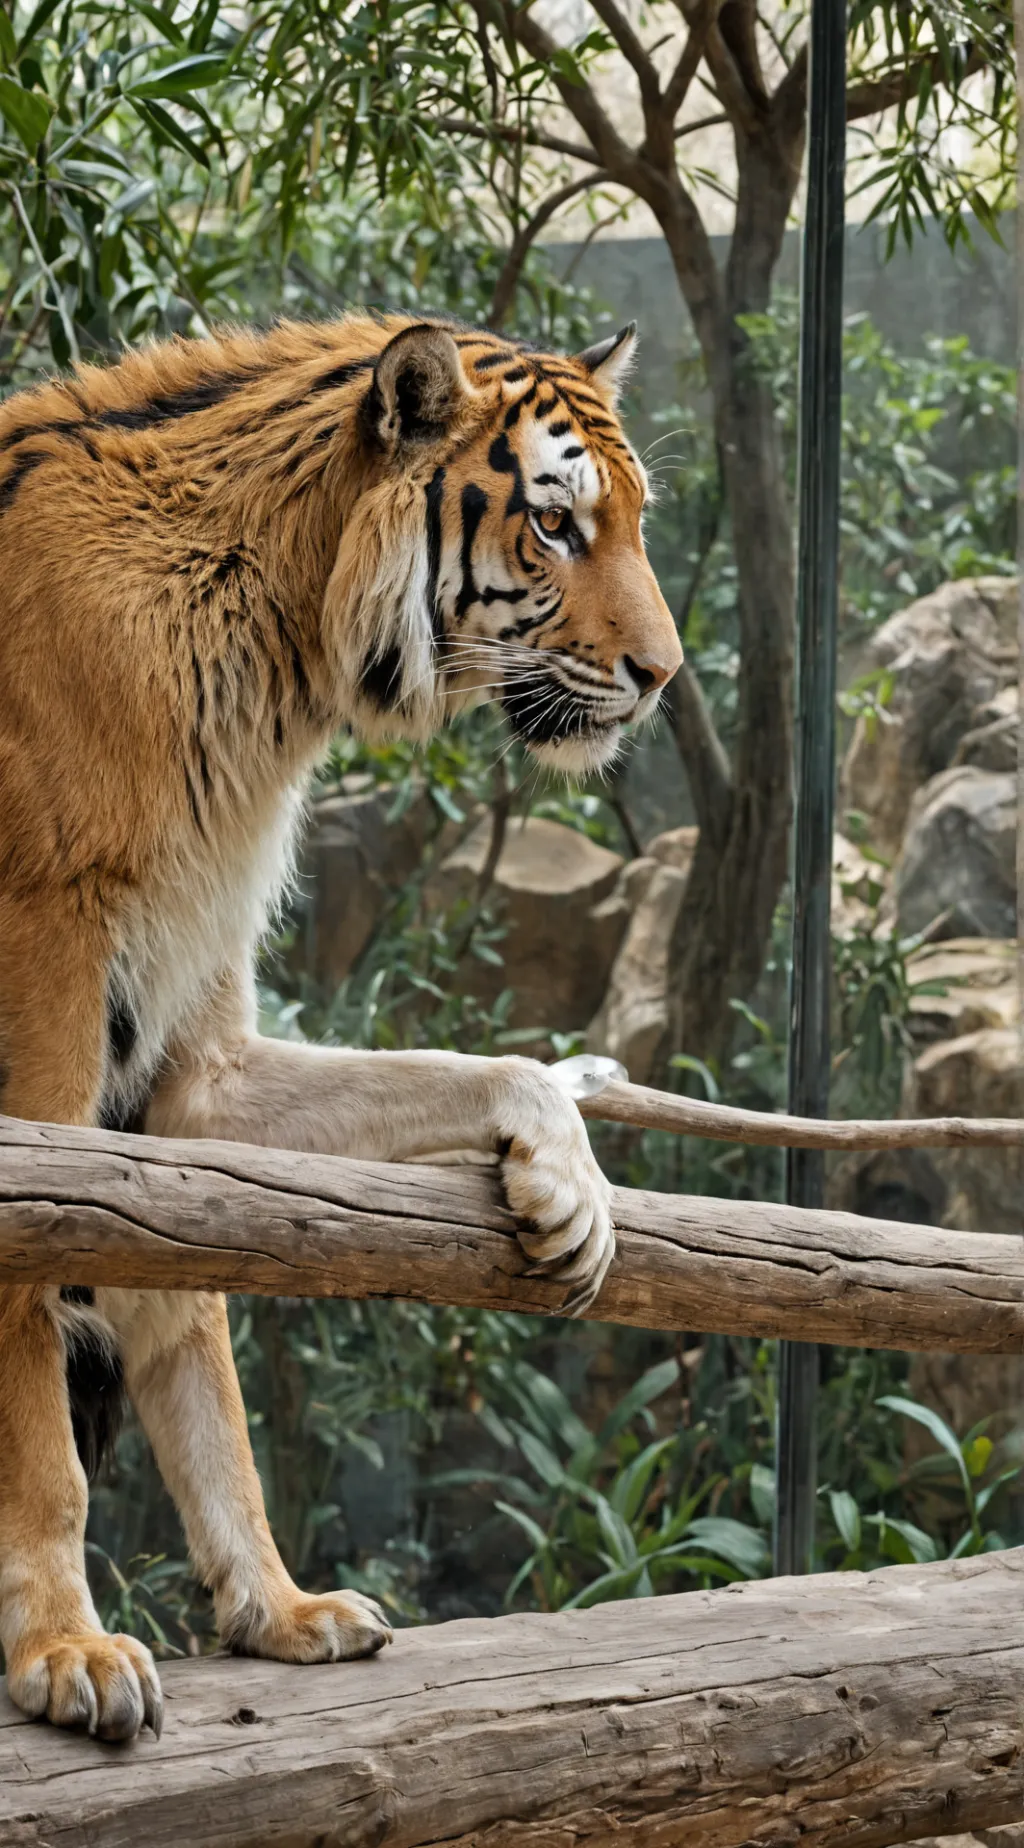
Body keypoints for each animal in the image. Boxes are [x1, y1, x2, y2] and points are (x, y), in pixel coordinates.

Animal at [0, 310, 681, 1741]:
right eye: (556, 524)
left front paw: (275, 1611)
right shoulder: (43, 1012)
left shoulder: (187, 1064)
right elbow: (36, 1371)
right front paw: (63, 1649)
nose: (664, 677)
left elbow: (200, 1349)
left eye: (635, 519)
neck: (274, 659)